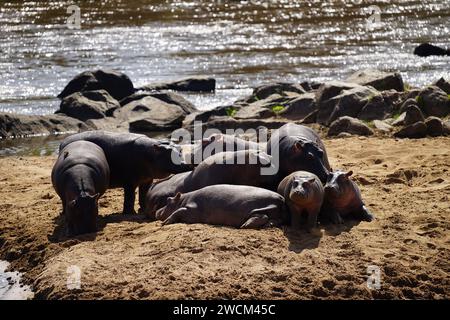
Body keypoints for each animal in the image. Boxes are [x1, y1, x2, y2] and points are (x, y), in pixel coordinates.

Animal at [59, 130, 192, 215]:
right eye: (169, 152)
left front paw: (143, 209)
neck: (150, 153)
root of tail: (63, 141)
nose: (187, 163)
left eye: (180, 149)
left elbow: (143, 194)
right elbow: (130, 197)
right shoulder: (130, 183)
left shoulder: (147, 180)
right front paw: (130, 213)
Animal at [156, 185, 286, 230]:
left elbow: (178, 211)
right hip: (275, 211)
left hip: (259, 207)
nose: (157, 211)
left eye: (168, 200)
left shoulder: (191, 208)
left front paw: (165, 223)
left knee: (262, 216)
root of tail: (280, 198)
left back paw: (245, 225)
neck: (182, 200)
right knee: (274, 219)